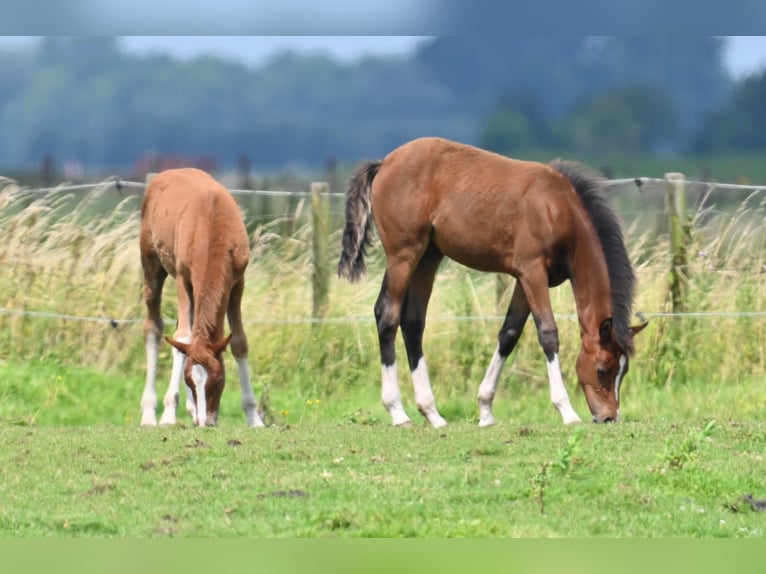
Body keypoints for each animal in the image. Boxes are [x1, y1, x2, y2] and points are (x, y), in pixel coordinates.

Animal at [140, 166, 266, 428]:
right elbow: (183, 338)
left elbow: (238, 342)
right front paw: (169, 414)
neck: (212, 227)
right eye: (189, 381)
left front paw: (254, 417)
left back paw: (188, 409)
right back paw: (149, 413)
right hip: (151, 264)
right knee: (154, 328)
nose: (205, 422)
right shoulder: (182, 278)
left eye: (217, 381)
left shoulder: (237, 282)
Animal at [340, 138, 644, 428]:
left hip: (428, 256)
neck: (558, 211)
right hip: (403, 254)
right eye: (603, 368)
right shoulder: (532, 271)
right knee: (387, 315)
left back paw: (432, 414)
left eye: (625, 370)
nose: (608, 417)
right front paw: (567, 410)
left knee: (413, 322)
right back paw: (397, 412)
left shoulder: (526, 279)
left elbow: (509, 333)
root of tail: (384, 164)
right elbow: (548, 333)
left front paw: (485, 410)